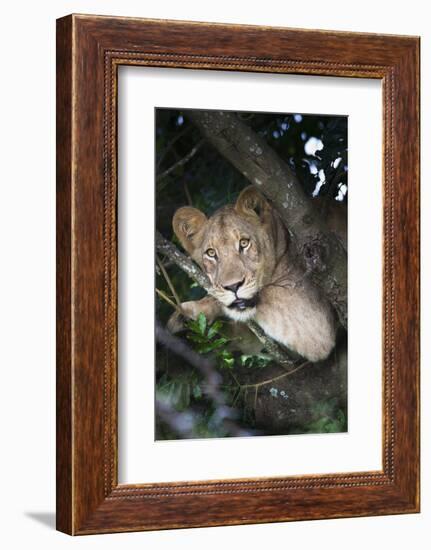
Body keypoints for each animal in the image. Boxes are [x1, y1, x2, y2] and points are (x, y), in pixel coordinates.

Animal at [169, 188, 338, 364]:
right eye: (211, 253)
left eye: (244, 243)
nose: (233, 286)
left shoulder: (314, 321)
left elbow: (265, 293)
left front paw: (191, 312)